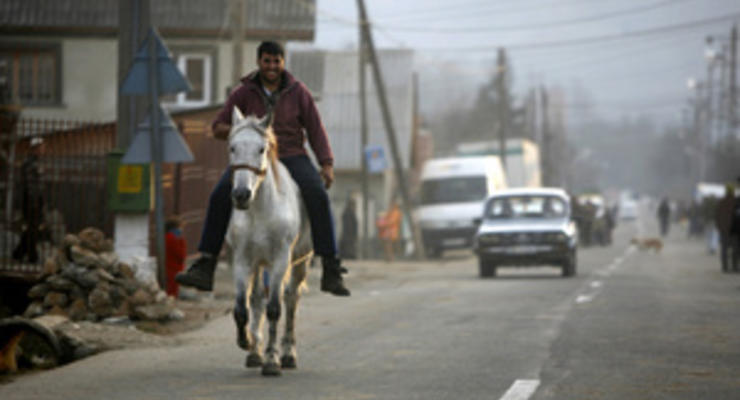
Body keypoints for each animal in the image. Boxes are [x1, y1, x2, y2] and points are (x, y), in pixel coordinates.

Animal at [228, 106, 316, 376]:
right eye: (232, 147)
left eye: (261, 149)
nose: (241, 195)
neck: (259, 210)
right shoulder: (243, 261)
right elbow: (241, 308)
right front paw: (246, 342)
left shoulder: (280, 261)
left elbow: (275, 309)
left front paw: (271, 360)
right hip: (259, 265)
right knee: (257, 299)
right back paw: (254, 351)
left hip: (300, 261)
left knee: (291, 299)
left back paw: (287, 355)